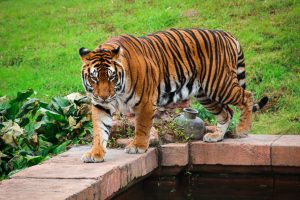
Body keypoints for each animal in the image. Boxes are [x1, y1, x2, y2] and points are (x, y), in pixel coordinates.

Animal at [78, 28, 268, 162]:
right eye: (94, 78)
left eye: (112, 77)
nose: (104, 96)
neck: (117, 93)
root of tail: (227, 34)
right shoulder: (100, 106)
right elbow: (99, 130)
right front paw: (95, 153)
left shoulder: (146, 101)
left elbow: (142, 126)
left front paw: (138, 146)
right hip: (205, 94)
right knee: (227, 112)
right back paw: (216, 137)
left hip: (219, 84)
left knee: (247, 96)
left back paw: (242, 130)